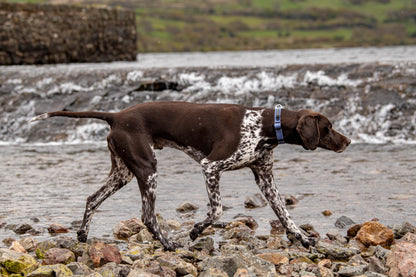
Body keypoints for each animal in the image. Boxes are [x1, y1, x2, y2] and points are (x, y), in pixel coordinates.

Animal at [30, 100, 352, 249]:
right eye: (329, 127)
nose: (348, 141)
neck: (263, 125)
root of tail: (116, 116)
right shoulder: (211, 166)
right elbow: (217, 210)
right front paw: (196, 230)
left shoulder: (265, 178)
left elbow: (285, 213)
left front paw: (302, 238)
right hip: (147, 169)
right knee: (148, 216)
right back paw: (168, 244)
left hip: (123, 173)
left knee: (92, 199)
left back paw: (83, 235)